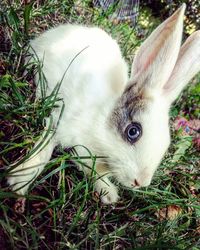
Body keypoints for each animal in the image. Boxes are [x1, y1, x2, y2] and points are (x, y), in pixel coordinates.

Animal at [7, 2, 200, 204]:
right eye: (133, 132)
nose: (140, 182)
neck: (99, 122)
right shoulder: (60, 118)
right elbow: (45, 146)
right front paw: (19, 181)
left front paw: (108, 194)